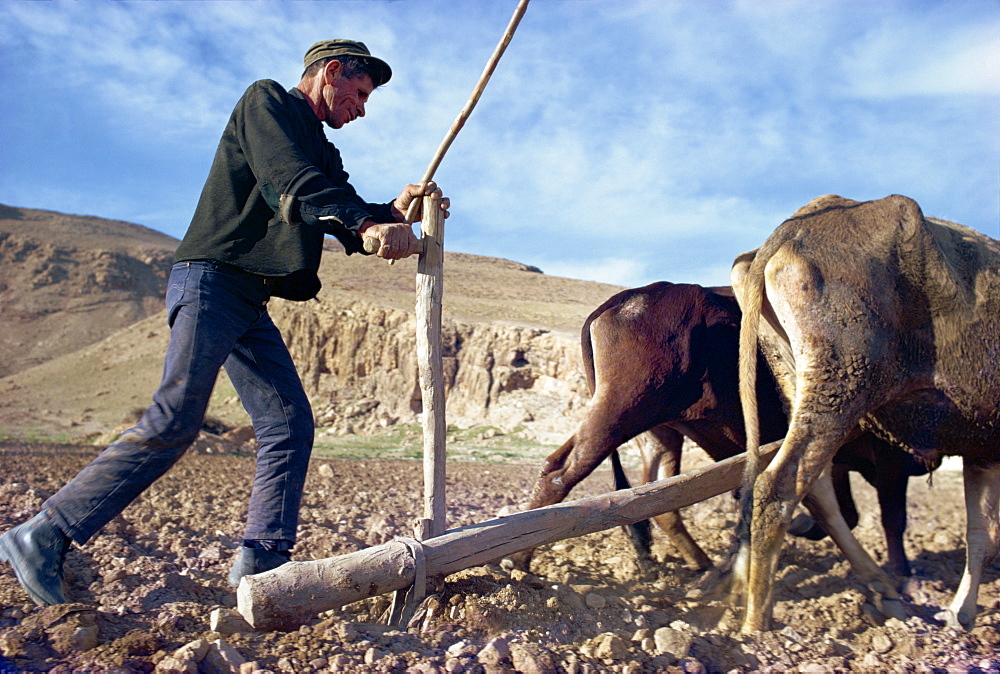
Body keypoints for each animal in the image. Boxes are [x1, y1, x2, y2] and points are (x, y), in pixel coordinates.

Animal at [512, 280, 924, 576]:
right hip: (622, 410)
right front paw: (902, 577)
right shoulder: (890, 455)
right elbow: (890, 517)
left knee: (651, 498)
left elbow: (848, 511)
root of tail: (625, 299)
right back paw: (520, 562)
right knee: (560, 474)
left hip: (655, 430)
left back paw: (699, 563)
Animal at [728, 193, 1000, 632]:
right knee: (777, 489)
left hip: (802, 381)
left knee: (815, 490)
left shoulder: (981, 448)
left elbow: (981, 533)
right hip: (842, 387)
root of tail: (795, 226)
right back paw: (756, 624)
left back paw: (877, 589)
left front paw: (961, 613)